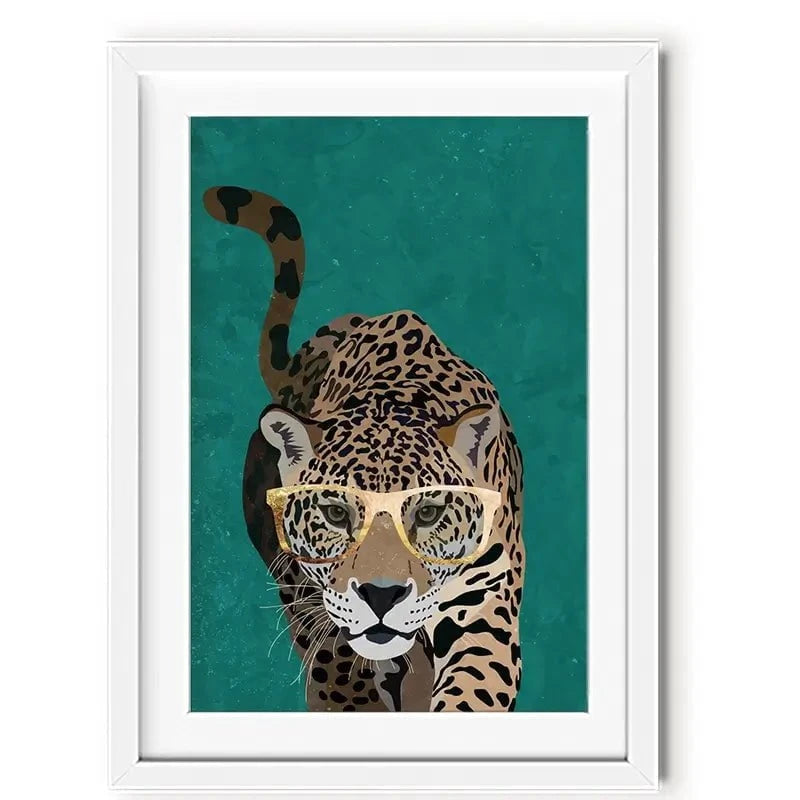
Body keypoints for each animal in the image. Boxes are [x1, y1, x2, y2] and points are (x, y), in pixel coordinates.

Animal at [202, 185, 525, 711]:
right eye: (336, 513)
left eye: (429, 513)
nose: (381, 596)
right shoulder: (319, 606)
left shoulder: (485, 602)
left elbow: (472, 690)